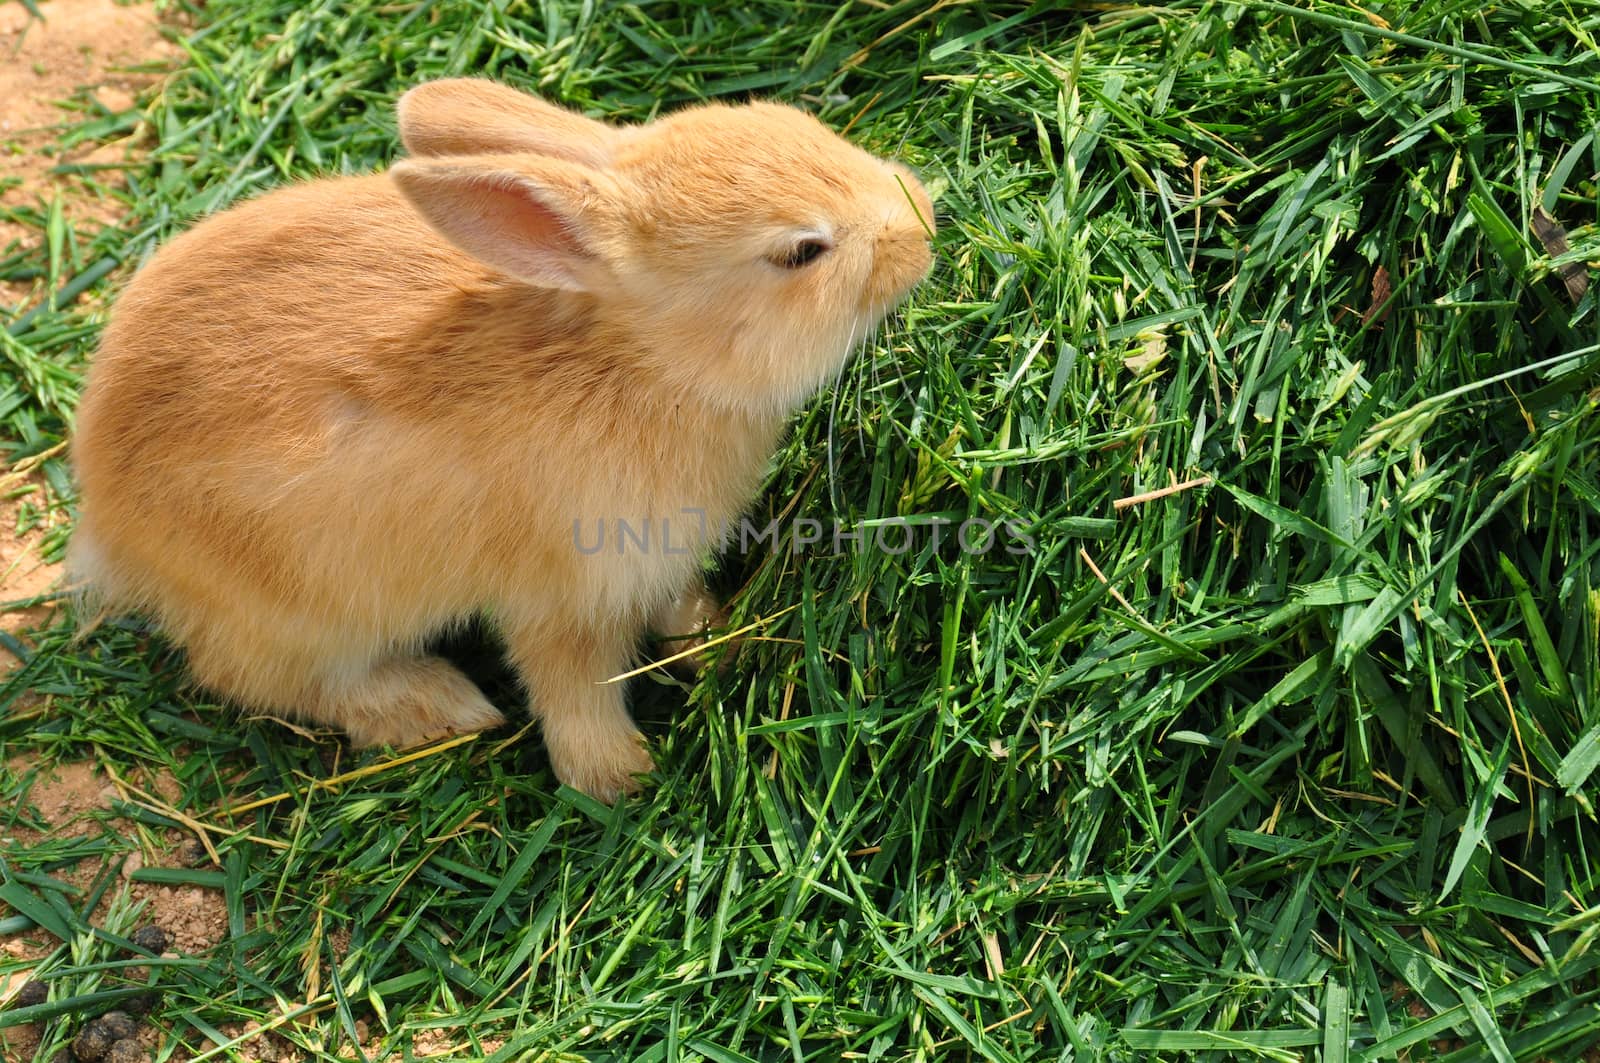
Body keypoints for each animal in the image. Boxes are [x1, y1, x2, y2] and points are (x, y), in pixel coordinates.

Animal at [68, 78, 934, 800]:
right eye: (800, 252)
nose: (922, 220)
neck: (641, 366)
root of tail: (106, 517)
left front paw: (716, 638)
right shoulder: (563, 594)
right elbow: (572, 686)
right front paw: (620, 777)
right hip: (297, 609)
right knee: (263, 677)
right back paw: (437, 704)